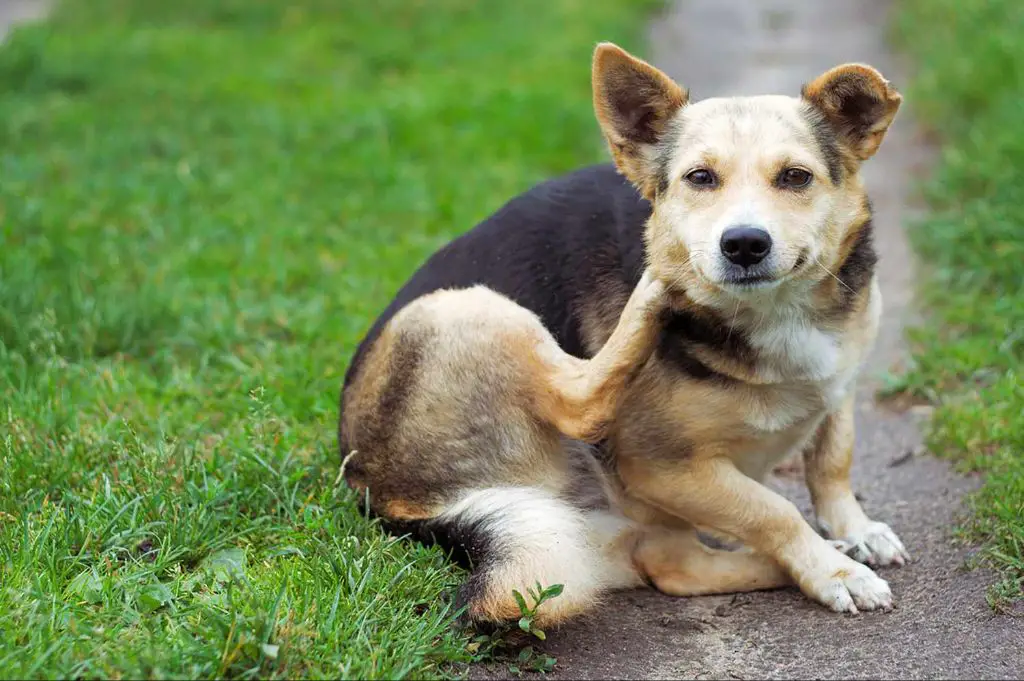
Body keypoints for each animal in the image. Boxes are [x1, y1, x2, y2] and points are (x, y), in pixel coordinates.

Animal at [339, 42, 909, 626]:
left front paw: (854, 532)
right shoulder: (660, 467)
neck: (777, 311)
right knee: (583, 408)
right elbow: (774, 511)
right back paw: (657, 288)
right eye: (700, 178)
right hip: (469, 307)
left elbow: (832, 460)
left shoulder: (840, 380)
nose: (743, 244)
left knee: (671, 564)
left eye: (795, 177)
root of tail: (384, 497)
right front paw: (832, 571)